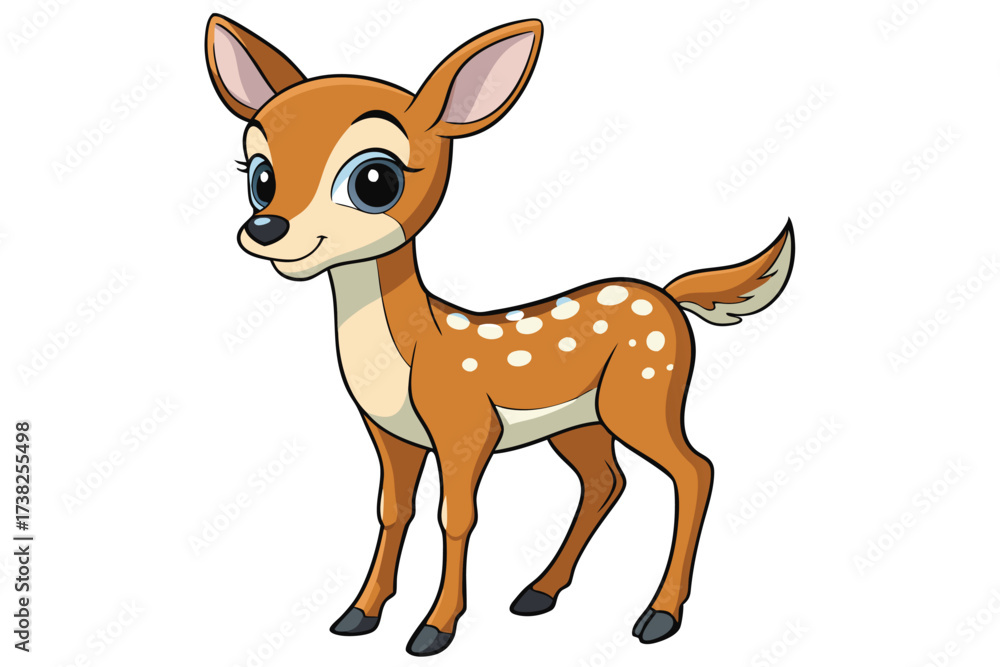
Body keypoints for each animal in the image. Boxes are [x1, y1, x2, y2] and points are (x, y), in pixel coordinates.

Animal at [204, 14, 795, 656]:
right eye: (259, 176)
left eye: (375, 180)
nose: (266, 227)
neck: (410, 351)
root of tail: (665, 295)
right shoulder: (391, 434)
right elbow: (393, 509)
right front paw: (358, 614)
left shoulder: (467, 425)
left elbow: (456, 515)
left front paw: (434, 629)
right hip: (579, 421)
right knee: (605, 481)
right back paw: (538, 593)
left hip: (644, 391)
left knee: (695, 470)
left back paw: (658, 616)